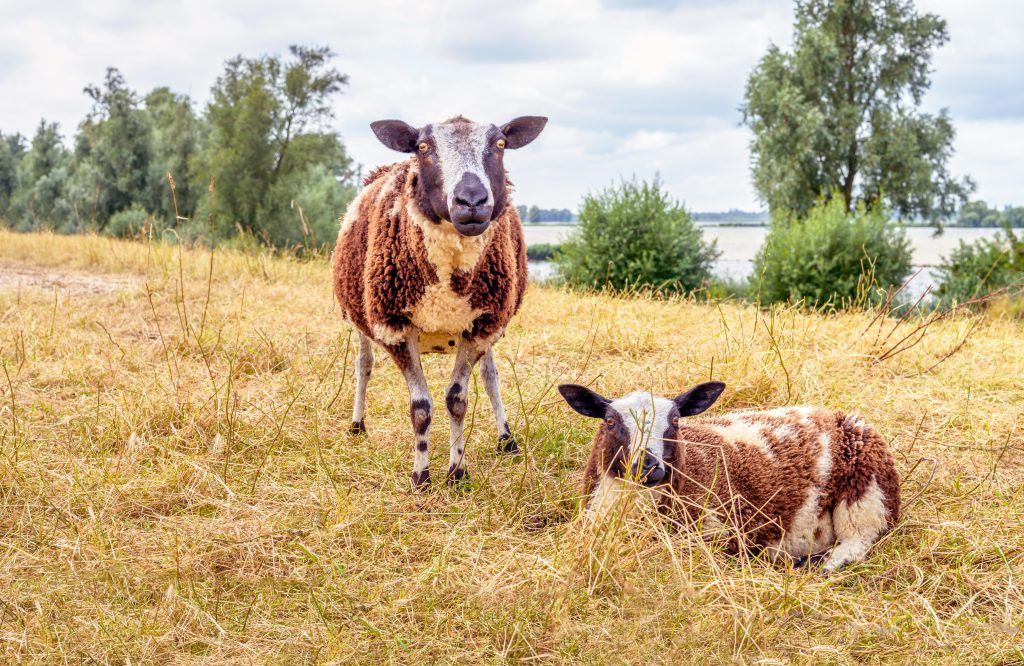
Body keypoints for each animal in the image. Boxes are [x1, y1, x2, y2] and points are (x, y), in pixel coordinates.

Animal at [333, 114, 544, 487]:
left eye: (500, 144)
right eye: (423, 146)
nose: (471, 200)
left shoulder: (480, 327)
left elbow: (457, 400)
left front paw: (457, 472)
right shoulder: (395, 327)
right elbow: (420, 408)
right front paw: (421, 476)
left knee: (490, 376)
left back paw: (506, 438)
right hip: (360, 319)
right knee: (363, 365)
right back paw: (357, 425)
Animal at [557, 381, 901, 569]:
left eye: (676, 421)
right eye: (610, 421)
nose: (649, 466)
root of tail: (836, 415)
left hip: (866, 490)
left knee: (857, 541)